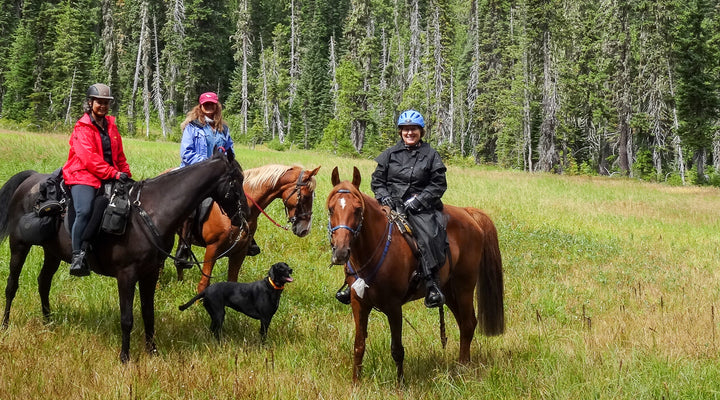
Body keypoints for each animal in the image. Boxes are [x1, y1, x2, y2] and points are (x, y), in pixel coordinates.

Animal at [0, 152, 248, 363]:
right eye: (237, 180)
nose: (244, 216)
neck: (151, 213)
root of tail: (31, 179)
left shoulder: (150, 274)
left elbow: (148, 314)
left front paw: (152, 351)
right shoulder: (126, 275)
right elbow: (127, 318)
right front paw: (125, 357)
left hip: (52, 252)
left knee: (44, 282)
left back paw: (48, 322)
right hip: (19, 245)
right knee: (12, 285)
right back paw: (5, 324)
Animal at [174, 164, 320, 293]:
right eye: (306, 196)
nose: (305, 229)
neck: (237, 211)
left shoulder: (240, 252)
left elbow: (232, 281)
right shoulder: (212, 249)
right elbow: (203, 284)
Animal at [326, 166, 504, 383]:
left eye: (358, 210)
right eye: (331, 209)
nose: (341, 251)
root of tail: (468, 213)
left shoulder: (394, 306)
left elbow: (397, 349)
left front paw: (400, 384)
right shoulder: (358, 302)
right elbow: (359, 346)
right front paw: (356, 383)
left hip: (464, 286)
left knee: (468, 323)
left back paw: (462, 368)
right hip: (448, 290)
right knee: (465, 323)